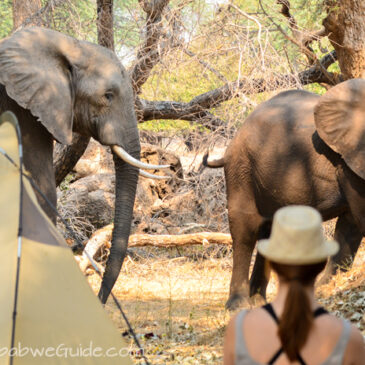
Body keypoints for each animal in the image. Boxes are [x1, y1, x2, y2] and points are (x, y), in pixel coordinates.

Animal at [203, 78, 364, 308]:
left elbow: (350, 224)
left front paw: (324, 289)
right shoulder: (349, 160)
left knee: (268, 231)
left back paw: (258, 301)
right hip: (241, 168)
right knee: (245, 230)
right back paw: (238, 305)